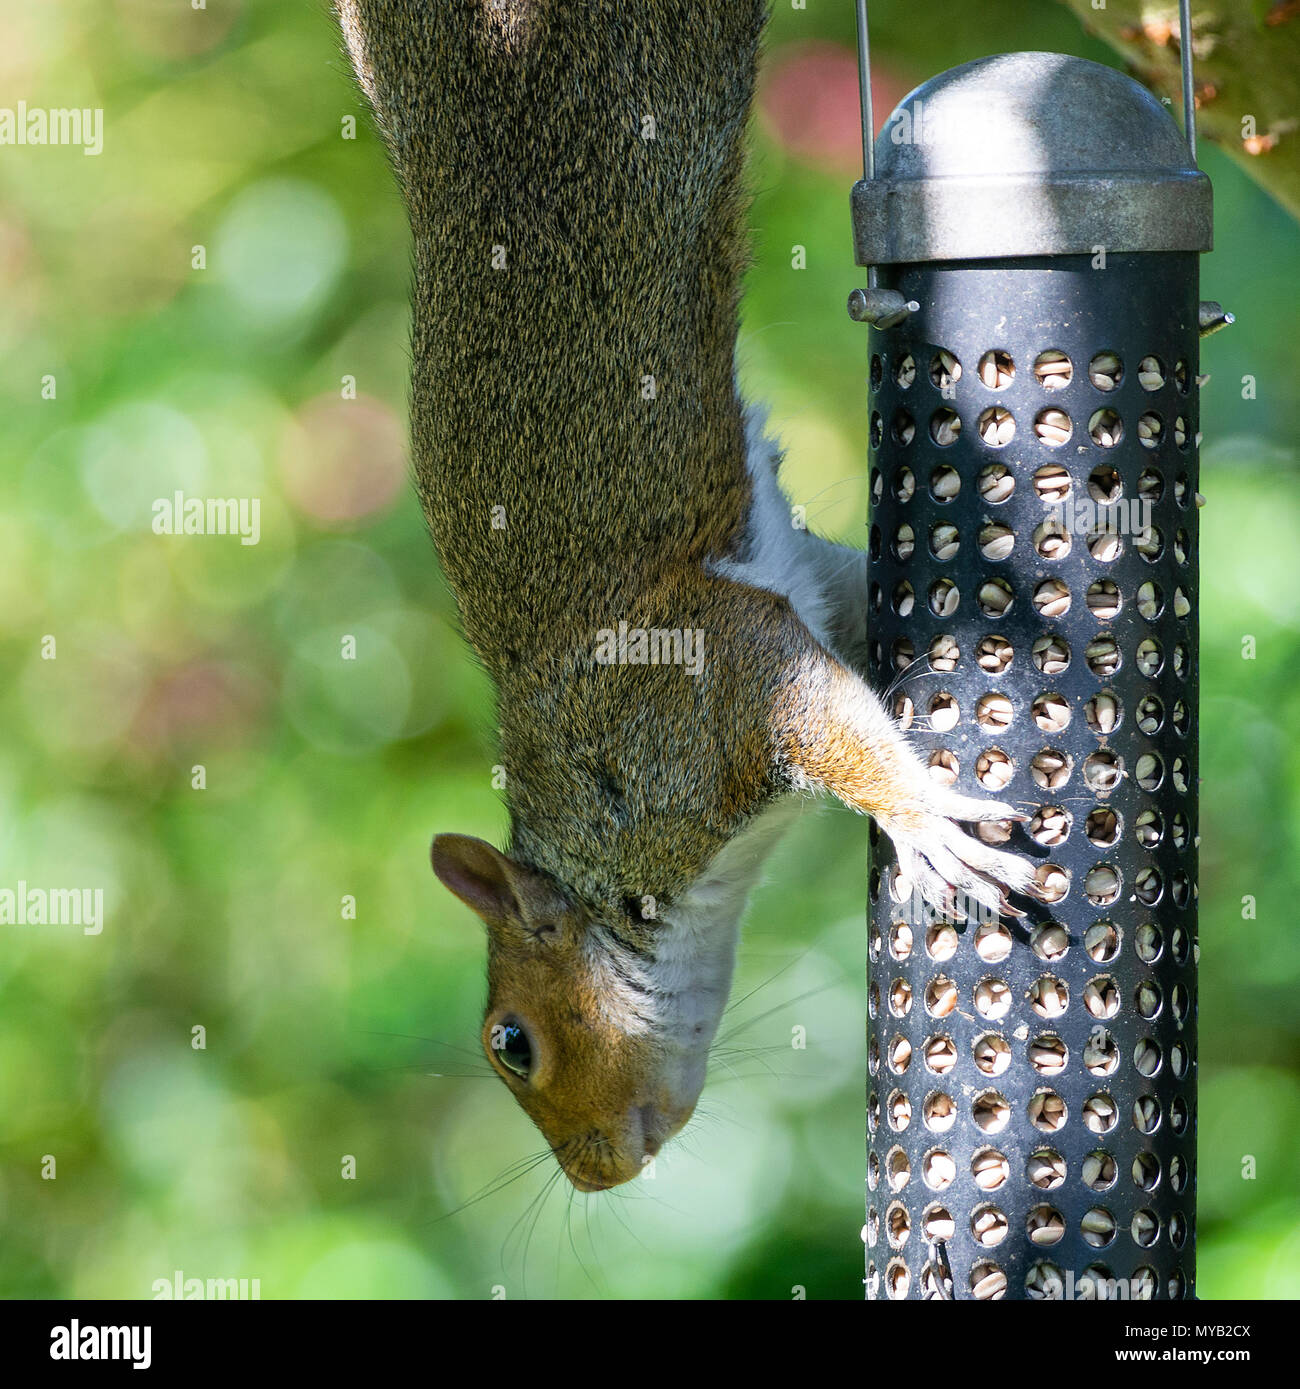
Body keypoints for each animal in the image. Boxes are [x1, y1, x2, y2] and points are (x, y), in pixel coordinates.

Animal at [337, 0, 1033, 1194]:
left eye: (509, 1042)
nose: (596, 1178)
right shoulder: (804, 596)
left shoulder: (693, 700)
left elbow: (825, 720)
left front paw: (925, 819)